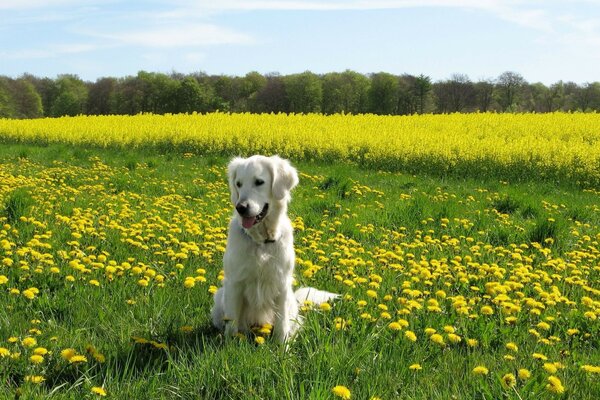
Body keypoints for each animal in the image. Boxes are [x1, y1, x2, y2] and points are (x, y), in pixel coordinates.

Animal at [212, 155, 338, 342]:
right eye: (238, 184)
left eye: (259, 182)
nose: (240, 208)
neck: (261, 241)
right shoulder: (235, 282)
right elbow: (232, 323)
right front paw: (230, 344)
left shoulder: (282, 283)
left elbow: (281, 324)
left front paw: (282, 347)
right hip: (220, 295)